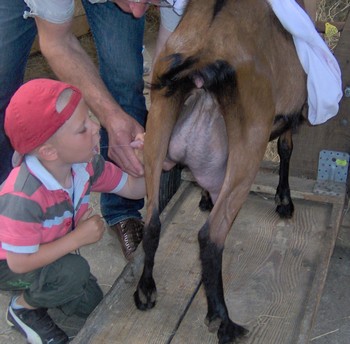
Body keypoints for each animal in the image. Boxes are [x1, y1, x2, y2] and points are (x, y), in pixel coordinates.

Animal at [135, 1, 308, 342]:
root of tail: (206, 49)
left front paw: (203, 198)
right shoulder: (289, 117)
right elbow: (286, 148)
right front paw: (284, 201)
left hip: (158, 122)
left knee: (152, 220)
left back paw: (146, 290)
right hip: (248, 146)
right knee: (210, 236)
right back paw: (223, 321)